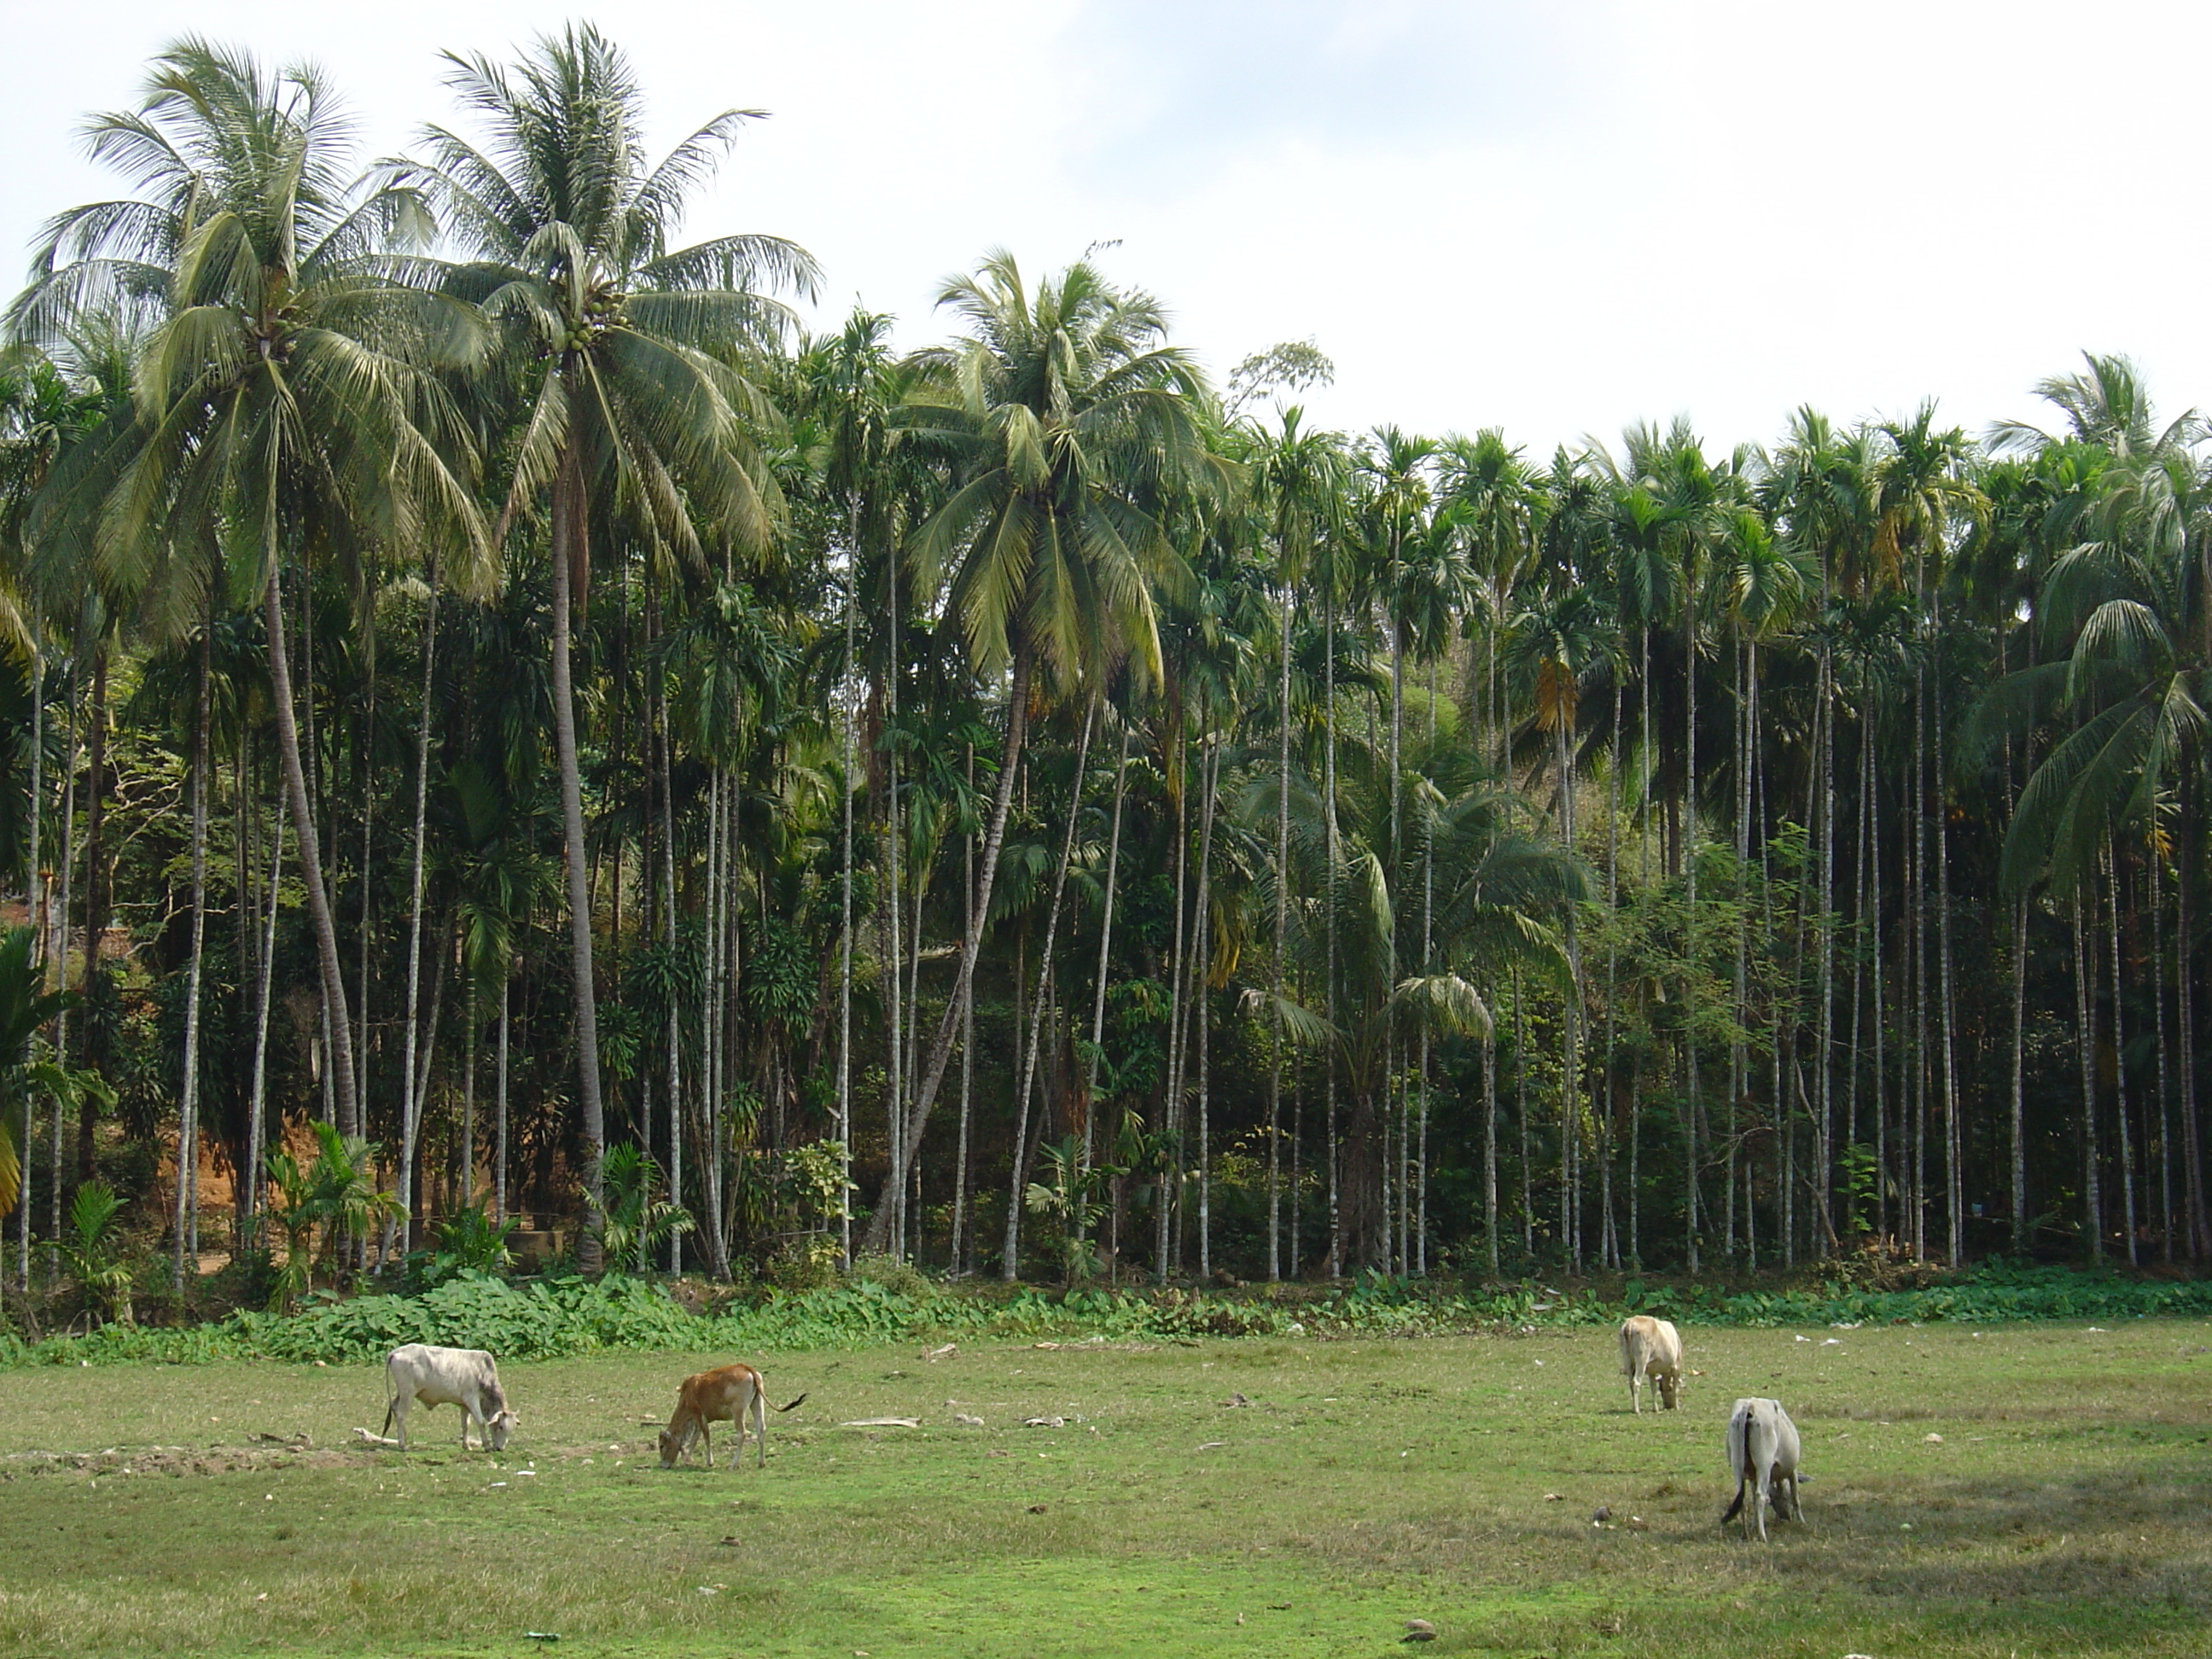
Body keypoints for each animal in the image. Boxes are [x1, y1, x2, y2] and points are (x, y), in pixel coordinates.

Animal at [385, 1344, 517, 1451]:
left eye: (511, 1429)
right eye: (501, 1426)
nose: (500, 1449)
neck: (482, 1372)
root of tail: (397, 1351)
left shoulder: (465, 1405)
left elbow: (465, 1424)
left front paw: (466, 1446)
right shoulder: (472, 1400)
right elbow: (480, 1422)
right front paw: (487, 1446)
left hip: (402, 1394)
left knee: (395, 1408)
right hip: (407, 1394)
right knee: (401, 1415)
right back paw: (403, 1445)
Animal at [655, 1371, 813, 1477]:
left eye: (662, 1446)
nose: (662, 1465)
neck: (688, 1394)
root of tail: (749, 1370)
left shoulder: (700, 1416)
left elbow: (706, 1437)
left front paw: (709, 1461)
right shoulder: (697, 1422)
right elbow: (694, 1439)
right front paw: (687, 1460)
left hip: (738, 1410)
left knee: (742, 1433)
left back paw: (733, 1465)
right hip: (757, 1403)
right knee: (761, 1429)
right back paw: (761, 1462)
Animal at [1716, 1406, 1805, 1548]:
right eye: (1785, 1497)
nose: (1786, 1517)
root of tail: (1748, 1407)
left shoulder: (1753, 1478)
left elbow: (1753, 1501)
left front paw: (1754, 1526)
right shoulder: (1793, 1471)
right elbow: (1796, 1497)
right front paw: (1802, 1522)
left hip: (1737, 1467)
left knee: (1743, 1500)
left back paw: (1746, 1534)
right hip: (1764, 1465)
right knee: (1760, 1496)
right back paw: (1762, 1536)